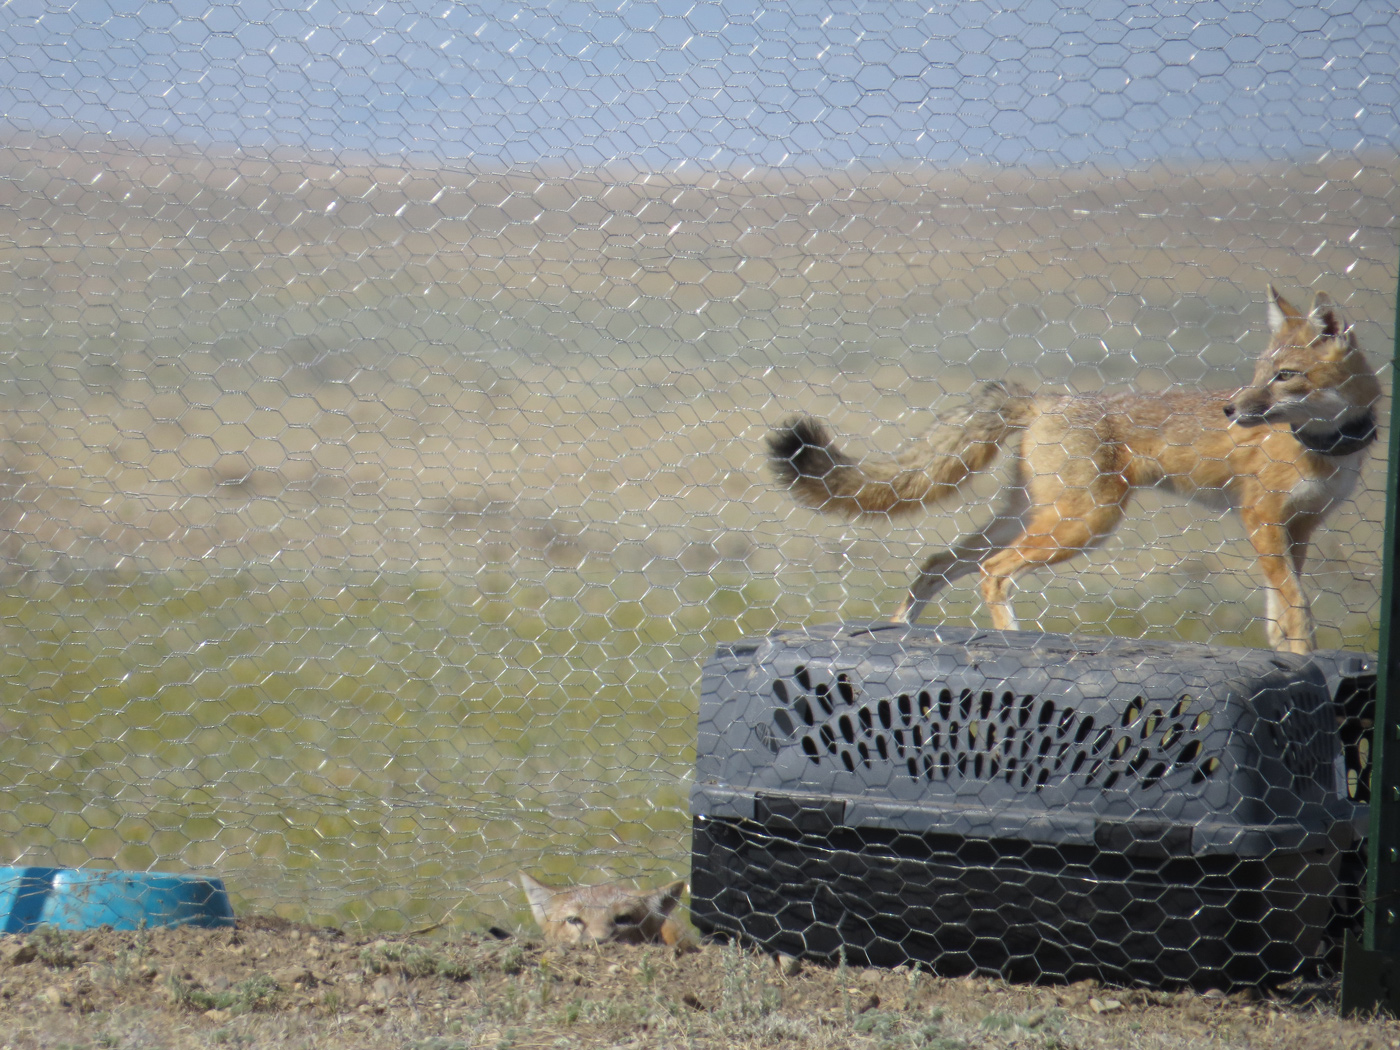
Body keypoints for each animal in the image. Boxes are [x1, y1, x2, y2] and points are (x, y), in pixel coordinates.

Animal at [772, 284, 1383, 655]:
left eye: (1284, 375)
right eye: (1261, 372)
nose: (1233, 410)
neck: (1328, 445)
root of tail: (1044, 398)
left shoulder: (1299, 528)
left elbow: (1280, 608)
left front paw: (1286, 658)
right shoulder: (1261, 517)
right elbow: (1297, 606)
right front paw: (1302, 662)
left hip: (1031, 517)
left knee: (937, 562)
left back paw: (902, 627)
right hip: (1084, 523)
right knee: (993, 572)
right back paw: (1010, 640)